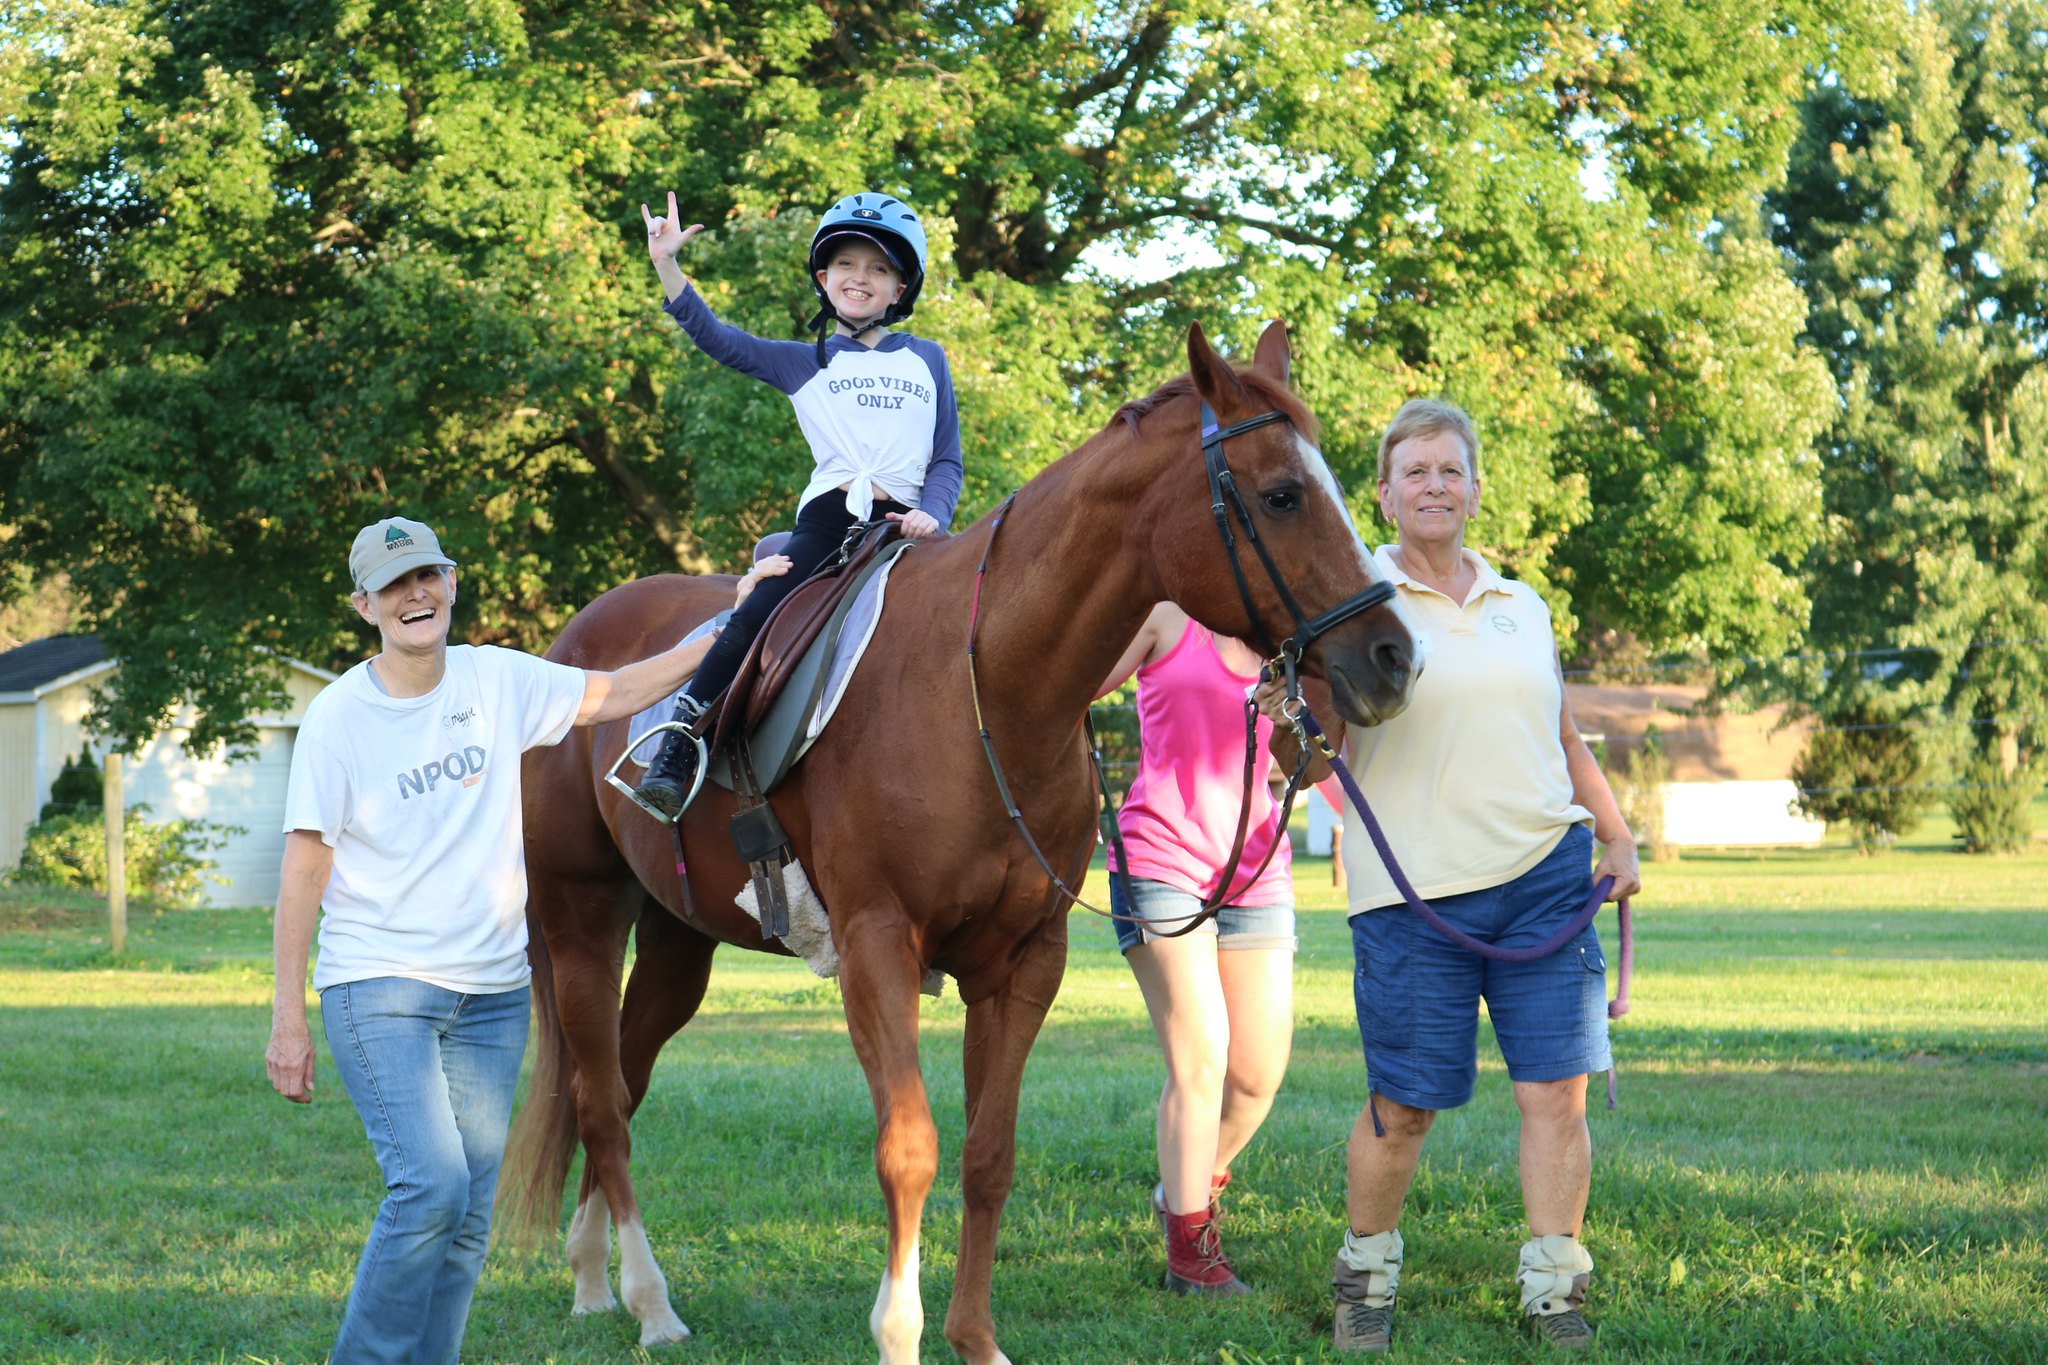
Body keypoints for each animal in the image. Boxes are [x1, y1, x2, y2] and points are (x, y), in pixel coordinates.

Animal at [499, 317, 1425, 1358]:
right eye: (1281, 495)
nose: (1394, 658)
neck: (982, 686)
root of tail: (572, 648)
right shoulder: (876, 949)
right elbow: (910, 1149)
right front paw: (898, 1331)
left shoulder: (1023, 963)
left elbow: (989, 1153)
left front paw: (974, 1337)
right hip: (581, 922)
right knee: (600, 1101)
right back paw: (648, 1299)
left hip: (675, 941)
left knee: (622, 1078)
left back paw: (595, 1279)